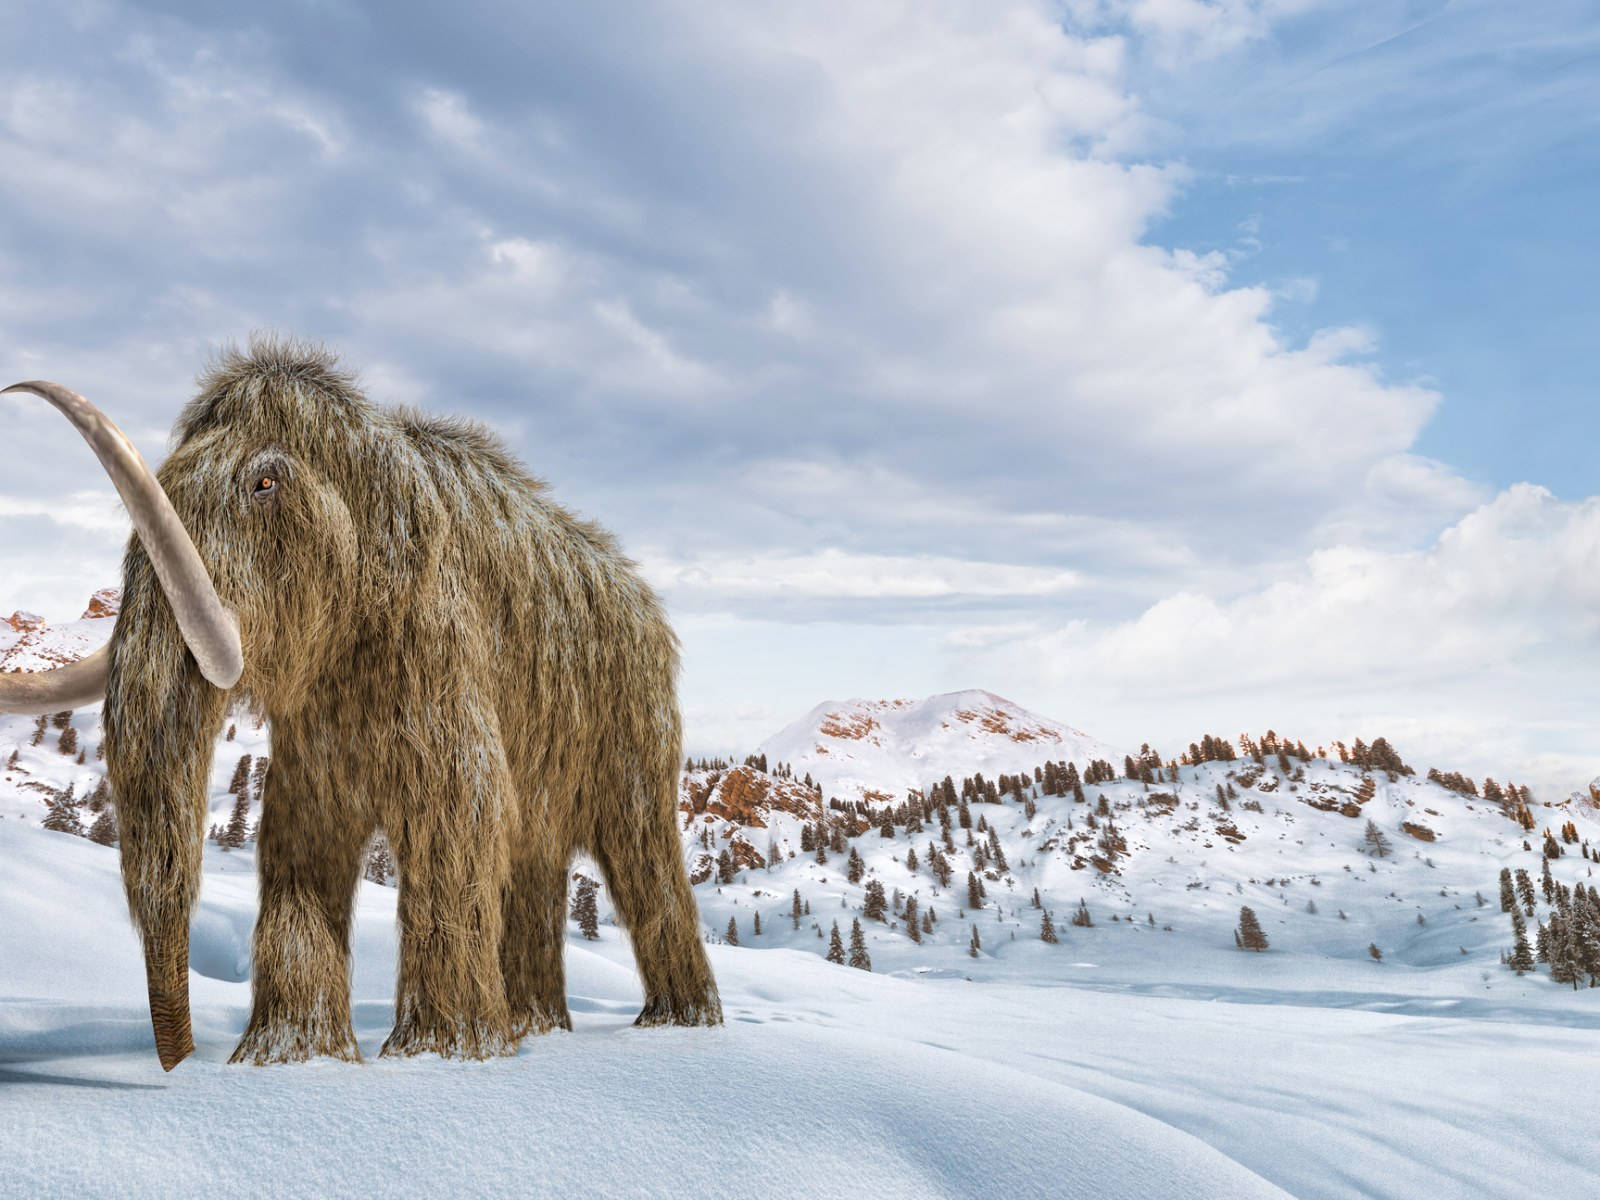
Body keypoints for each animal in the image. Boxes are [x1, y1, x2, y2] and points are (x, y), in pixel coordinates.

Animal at [0, 335, 721, 1069]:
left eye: (265, 484)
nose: (180, 1065)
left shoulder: (440, 650)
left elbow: (459, 813)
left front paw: (441, 1052)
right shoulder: (315, 725)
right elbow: (300, 833)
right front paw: (289, 1056)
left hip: (633, 724)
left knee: (643, 858)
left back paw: (676, 1024)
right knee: (533, 859)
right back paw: (536, 1026)